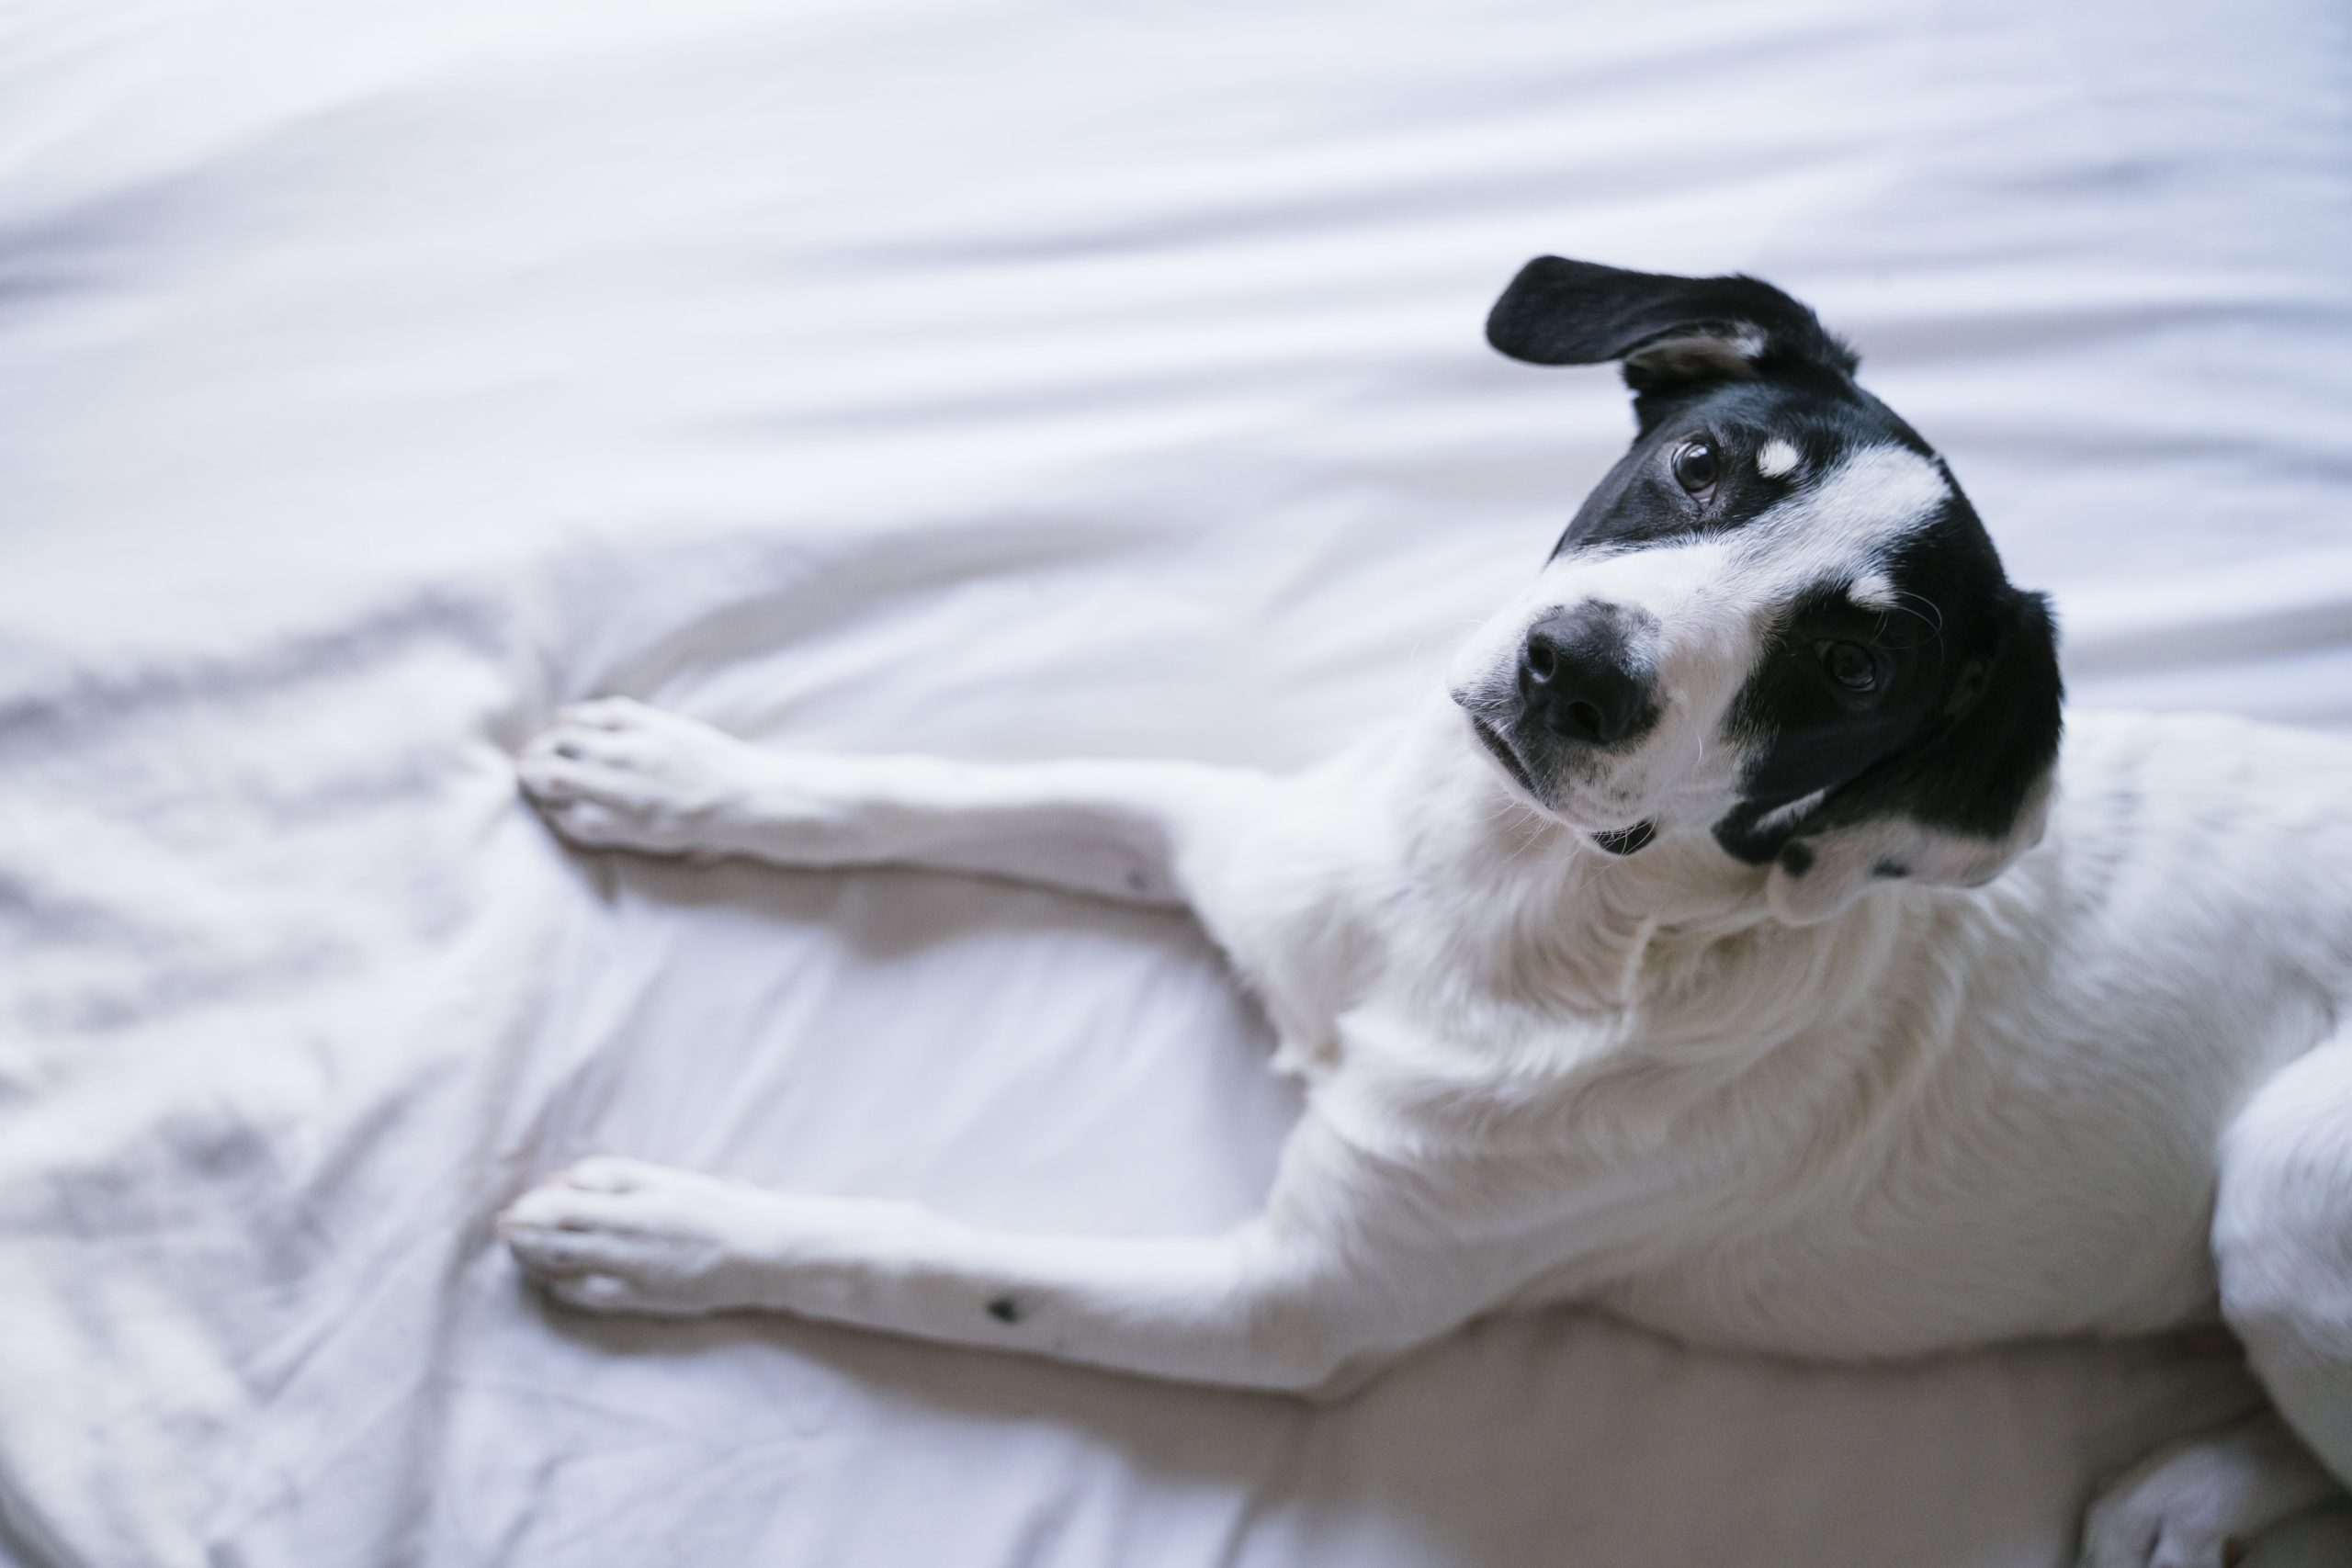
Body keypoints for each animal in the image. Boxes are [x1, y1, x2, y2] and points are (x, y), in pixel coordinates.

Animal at [505, 261, 2352, 1568]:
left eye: (1855, 665)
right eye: (1700, 463)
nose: (1574, 668)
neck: (1509, 900)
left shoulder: (1290, 1308)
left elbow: (943, 1259)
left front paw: (671, 1229)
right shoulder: (1237, 840)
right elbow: (959, 790)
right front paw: (679, 775)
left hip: (2281, 1173)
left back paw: (2193, 1490)